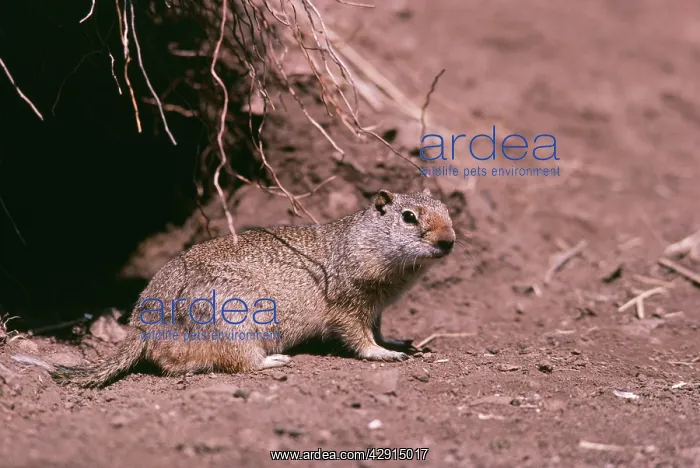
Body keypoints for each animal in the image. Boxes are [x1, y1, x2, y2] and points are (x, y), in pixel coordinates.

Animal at [13, 189, 456, 388]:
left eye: (448, 211)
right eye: (409, 216)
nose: (449, 241)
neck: (363, 241)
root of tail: (141, 325)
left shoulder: (376, 308)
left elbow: (379, 329)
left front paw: (397, 342)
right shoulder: (350, 305)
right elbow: (359, 338)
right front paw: (385, 355)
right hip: (238, 326)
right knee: (235, 363)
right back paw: (276, 361)